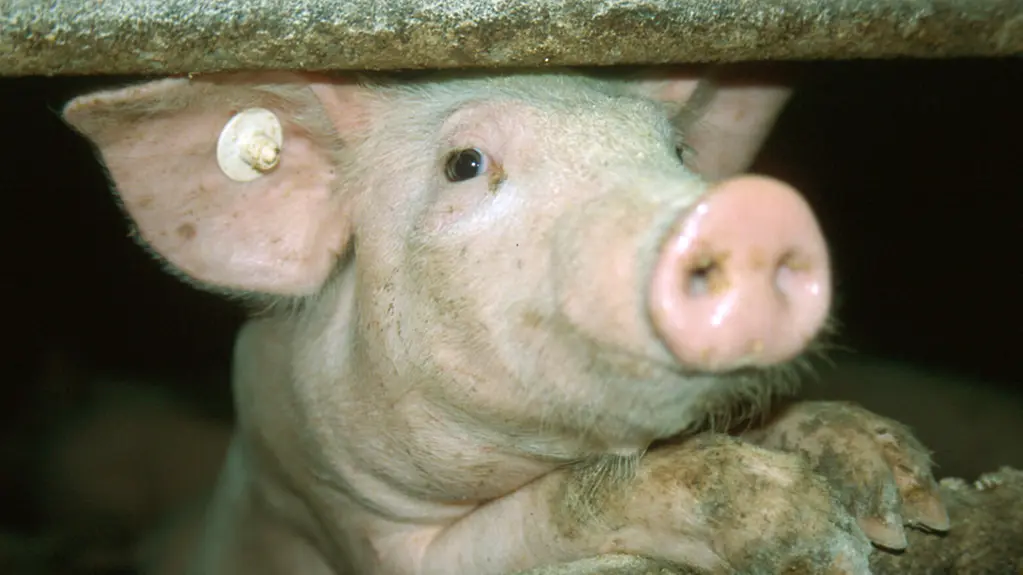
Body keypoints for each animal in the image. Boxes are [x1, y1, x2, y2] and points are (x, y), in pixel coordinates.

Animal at [62, 65, 949, 575]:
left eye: (679, 154)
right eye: (464, 164)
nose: (753, 210)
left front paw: (899, 501)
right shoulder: (363, 533)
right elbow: (557, 505)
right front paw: (820, 538)